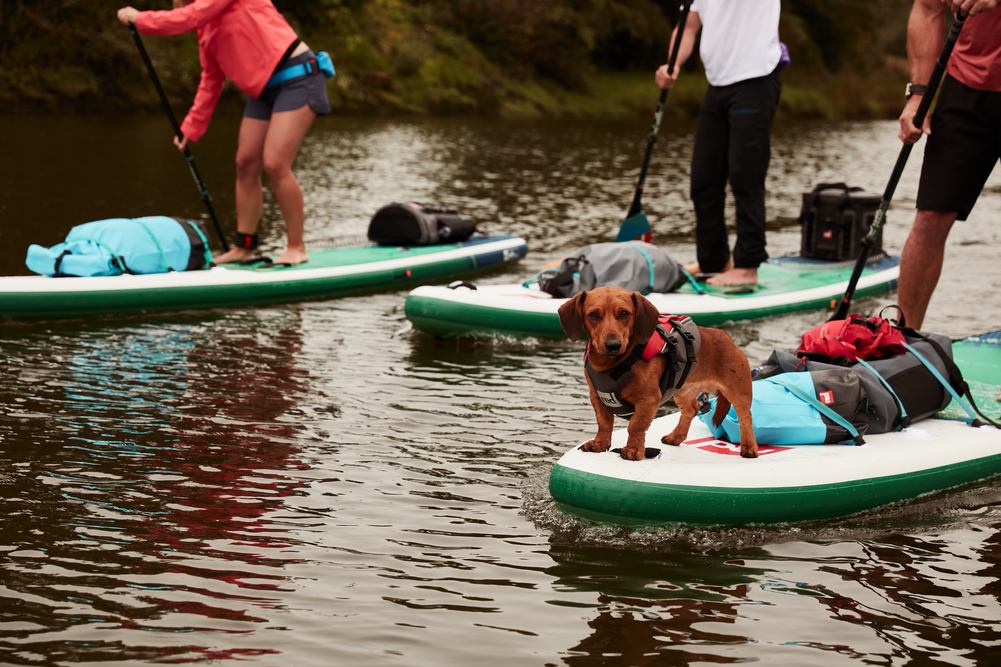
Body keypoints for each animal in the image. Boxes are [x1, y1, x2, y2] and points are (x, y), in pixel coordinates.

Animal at [560, 282, 752, 460]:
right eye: (593, 315)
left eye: (624, 314)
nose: (613, 345)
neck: (610, 364)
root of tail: (725, 337)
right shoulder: (597, 398)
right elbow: (604, 424)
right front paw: (599, 444)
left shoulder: (648, 400)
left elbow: (635, 426)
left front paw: (633, 450)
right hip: (682, 390)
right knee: (691, 410)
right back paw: (675, 437)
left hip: (738, 393)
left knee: (745, 418)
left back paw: (749, 449)